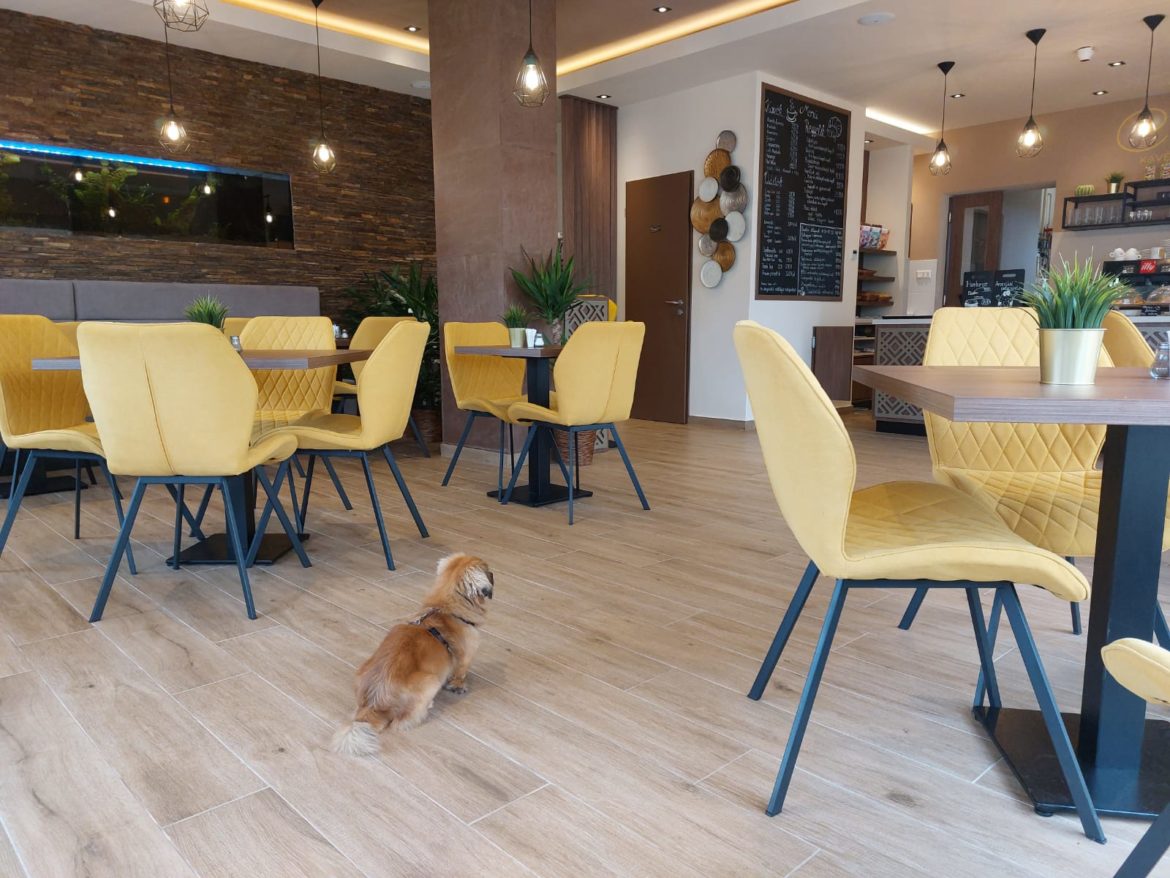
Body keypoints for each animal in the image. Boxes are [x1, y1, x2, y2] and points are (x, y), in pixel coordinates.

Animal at [331, 553, 494, 756]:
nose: (493, 574)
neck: (446, 608)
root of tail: (373, 704)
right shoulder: (465, 658)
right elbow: (460, 674)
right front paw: (459, 686)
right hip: (430, 681)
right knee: (402, 721)